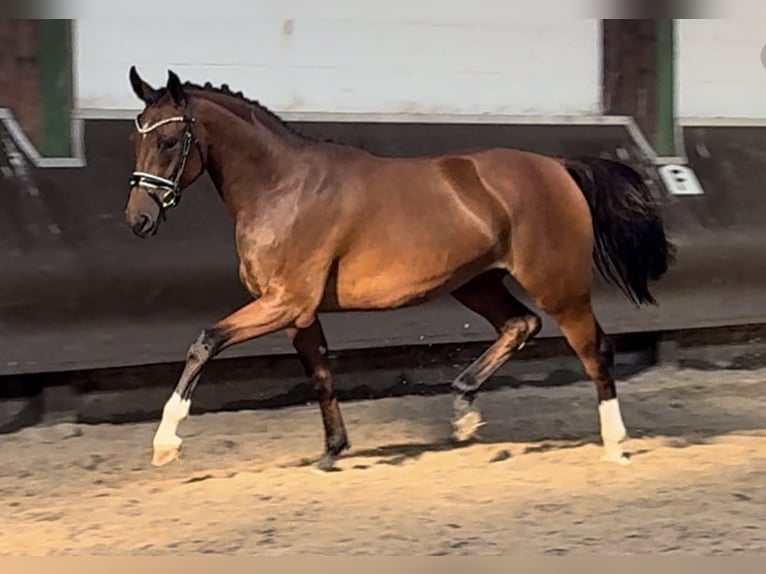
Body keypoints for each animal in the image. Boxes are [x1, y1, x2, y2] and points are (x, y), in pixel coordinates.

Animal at [123, 67, 676, 472]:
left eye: (169, 142)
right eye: (137, 139)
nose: (139, 220)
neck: (283, 188)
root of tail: (558, 166)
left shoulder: (284, 302)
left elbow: (205, 342)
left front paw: (165, 442)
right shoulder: (300, 313)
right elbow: (321, 375)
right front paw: (332, 452)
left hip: (559, 286)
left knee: (594, 351)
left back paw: (615, 446)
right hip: (475, 283)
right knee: (520, 325)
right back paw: (463, 412)